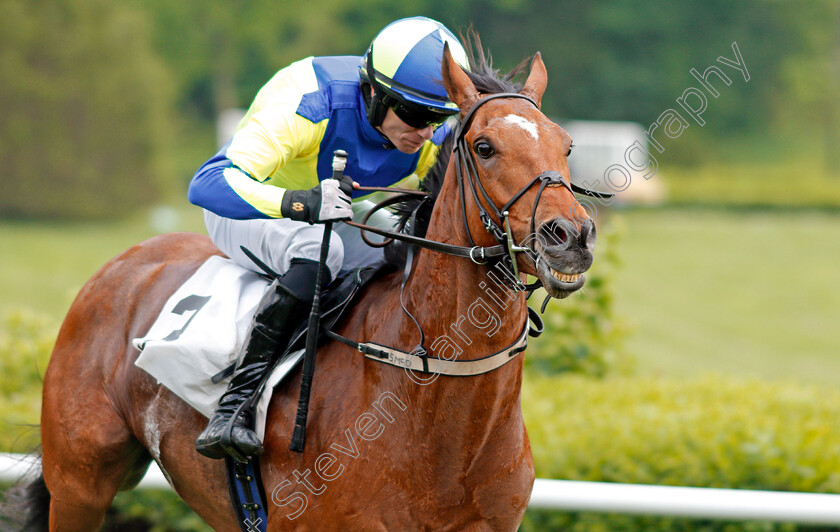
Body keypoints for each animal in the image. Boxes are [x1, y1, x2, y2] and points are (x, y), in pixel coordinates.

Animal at [9, 40, 596, 528]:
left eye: (567, 146)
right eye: (484, 146)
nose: (570, 235)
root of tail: (124, 264)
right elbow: (222, 176)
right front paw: (321, 202)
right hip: (80, 483)